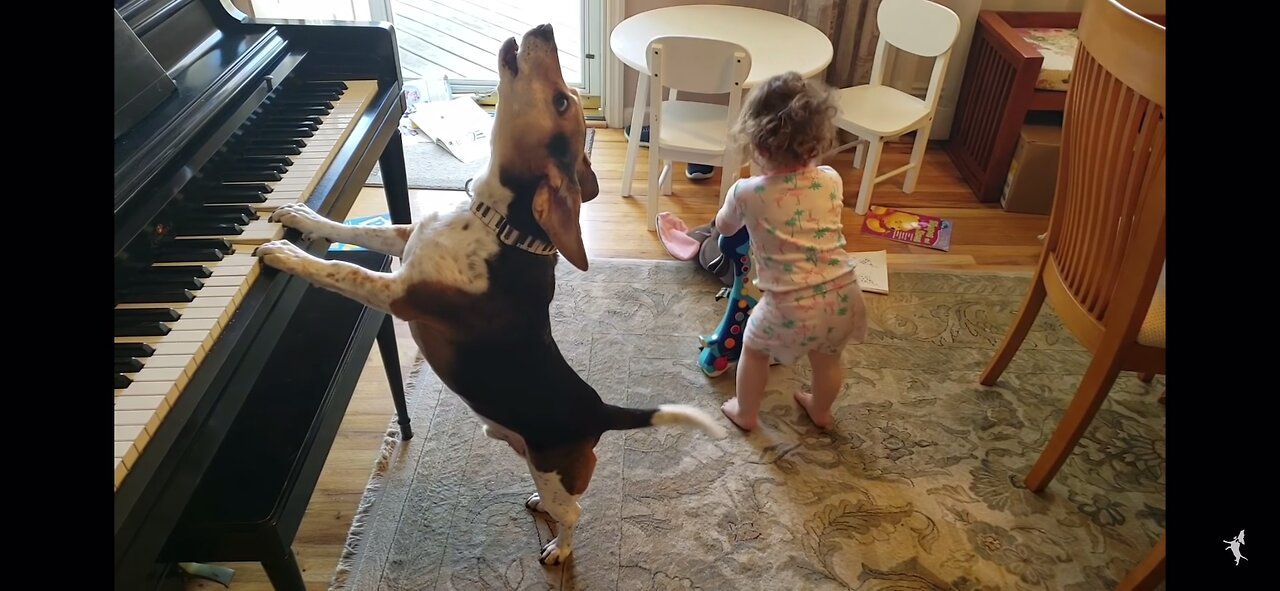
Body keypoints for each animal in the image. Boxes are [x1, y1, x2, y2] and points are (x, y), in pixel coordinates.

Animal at [254, 23, 727, 565]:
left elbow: (339, 270)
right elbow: (353, 232)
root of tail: (597, 411)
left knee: (574, 514)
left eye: (562, 101)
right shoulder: (406, 239)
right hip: (534, 463)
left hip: (554, 471)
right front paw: (302, 217)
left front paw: (285, 255)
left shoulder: (399, 295)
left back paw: (559, 550)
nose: (544, 28)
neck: (499, 225)